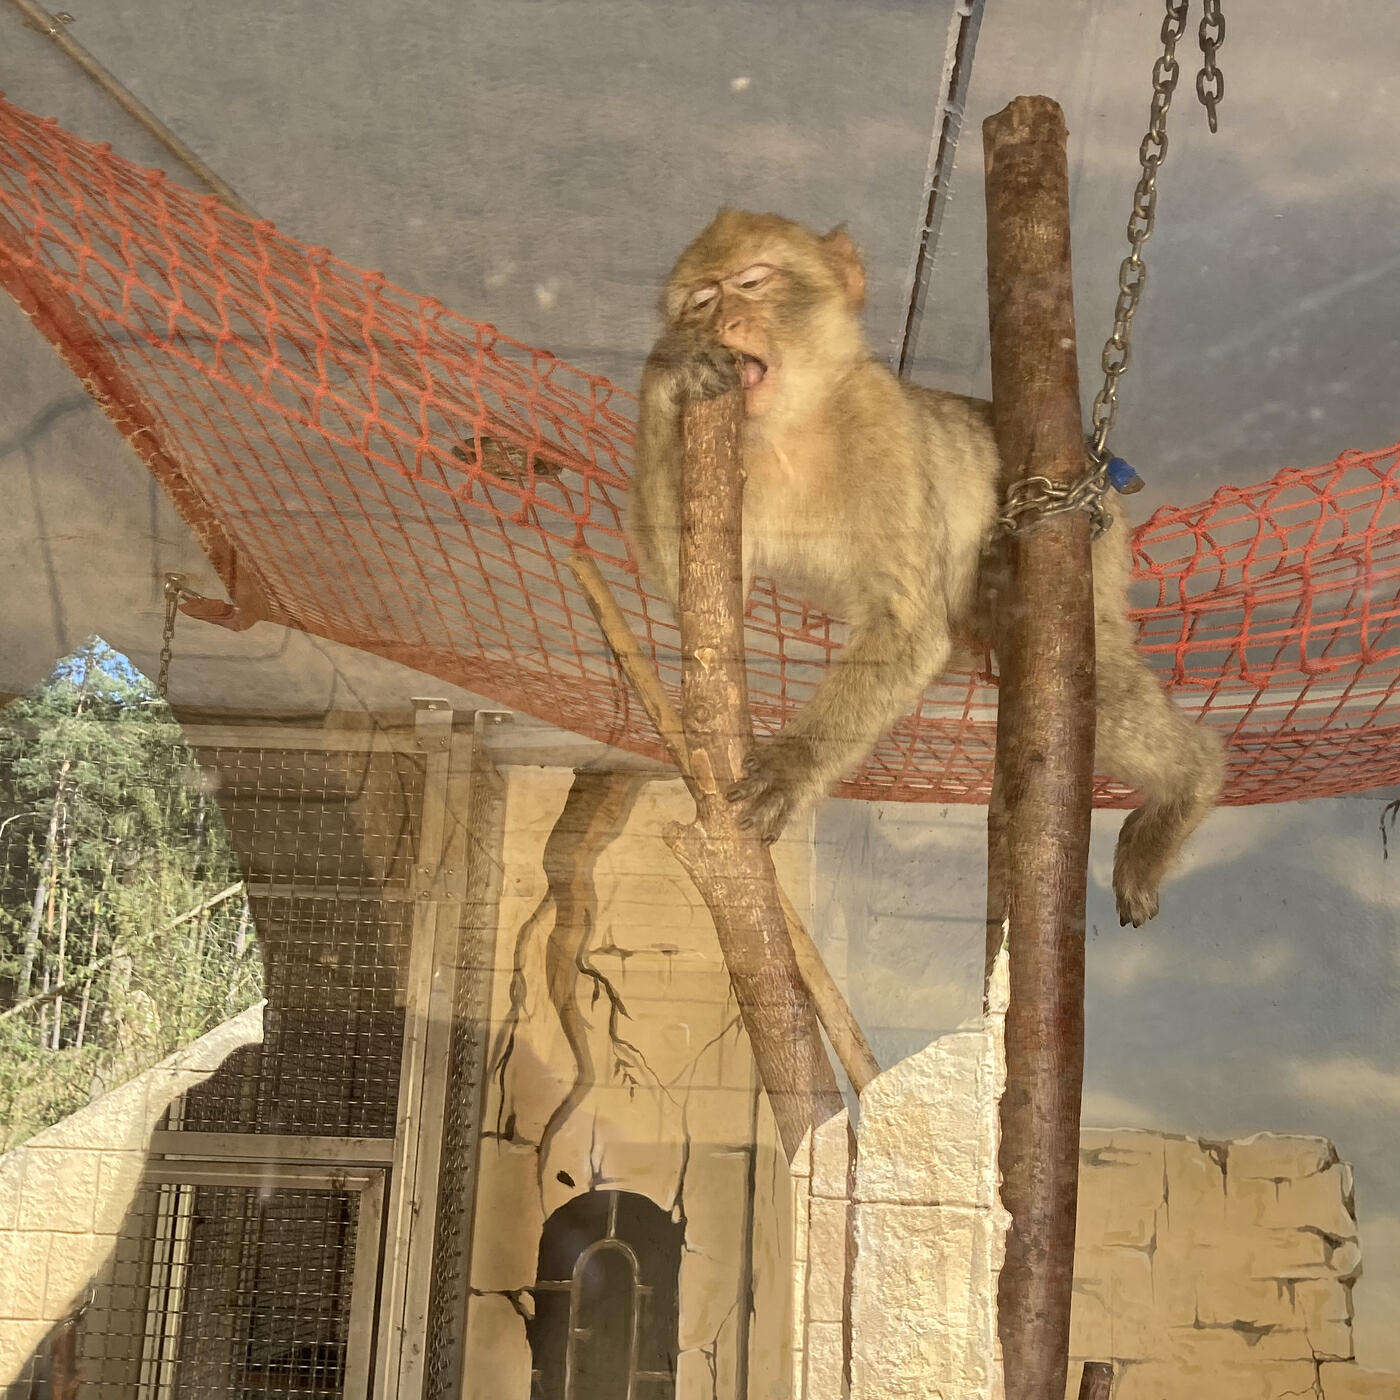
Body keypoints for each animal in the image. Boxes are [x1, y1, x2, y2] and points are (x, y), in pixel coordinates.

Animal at [627, 209, 1223, 926]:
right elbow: (701, 597)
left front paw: (792, 766)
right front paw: (672, 369)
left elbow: (906, 628)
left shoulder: (884, 432)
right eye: (701, 301)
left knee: (1088, 679)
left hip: (1094, 551)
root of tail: (1099, 469)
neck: (798, 427)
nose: (723, 321)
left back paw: (1192, 783)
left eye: (751, 281)